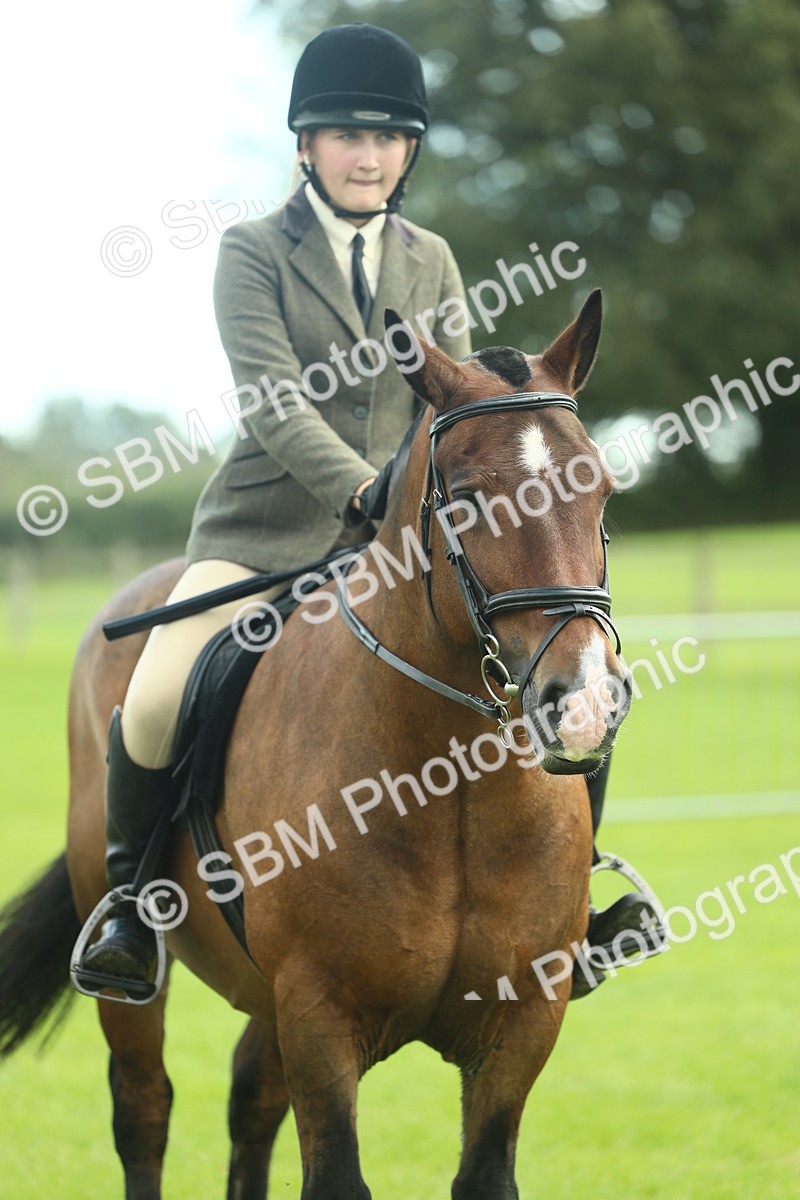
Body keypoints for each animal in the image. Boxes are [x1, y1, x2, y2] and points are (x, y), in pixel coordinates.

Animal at [0, 287, 631, 1199]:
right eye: (469, 501)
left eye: (603, 491)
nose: (583, 704)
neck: (453, 792)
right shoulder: (319, 1016)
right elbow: (333, 1174)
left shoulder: (521, 1026)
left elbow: (483, 1173)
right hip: (141, 975)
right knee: (144, 1106)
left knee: (250, 1102)